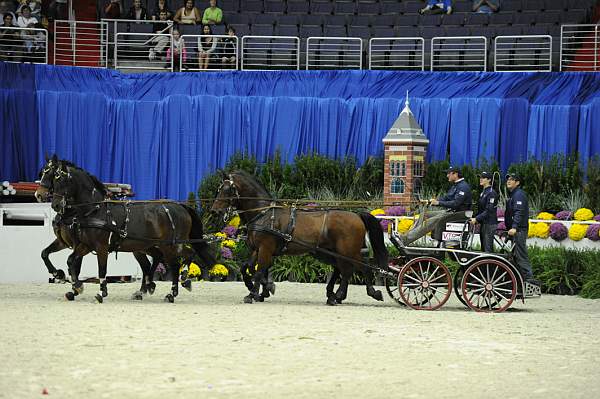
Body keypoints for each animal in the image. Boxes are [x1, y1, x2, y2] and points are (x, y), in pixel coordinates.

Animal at [36, 159, 217, 304]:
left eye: (60, 180)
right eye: (44, 175)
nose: (54, 204)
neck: (94, 209)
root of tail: (180, 206)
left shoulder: (100, 247)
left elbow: (101, 269)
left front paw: (100, 292)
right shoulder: (83, 244)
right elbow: (63, 258)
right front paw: (71, 284)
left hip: (171, 244)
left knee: (181, 259)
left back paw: (177, 286)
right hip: (148, 246)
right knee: (157, 263)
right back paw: (153, 288)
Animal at [211, 170, 390, 304]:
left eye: (227, 189)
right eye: (219, 189)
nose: (215, 211)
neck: (263, 213)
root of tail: (357, 215)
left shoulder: (265, 248)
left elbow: (259, 271)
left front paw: (253, 294)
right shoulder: (257, 248)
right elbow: (246, 267)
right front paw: (262, 289)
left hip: (348, 251)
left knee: (360, 268)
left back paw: (368, 293)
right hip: (331, 252)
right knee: (343, 269)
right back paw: (336, 296)